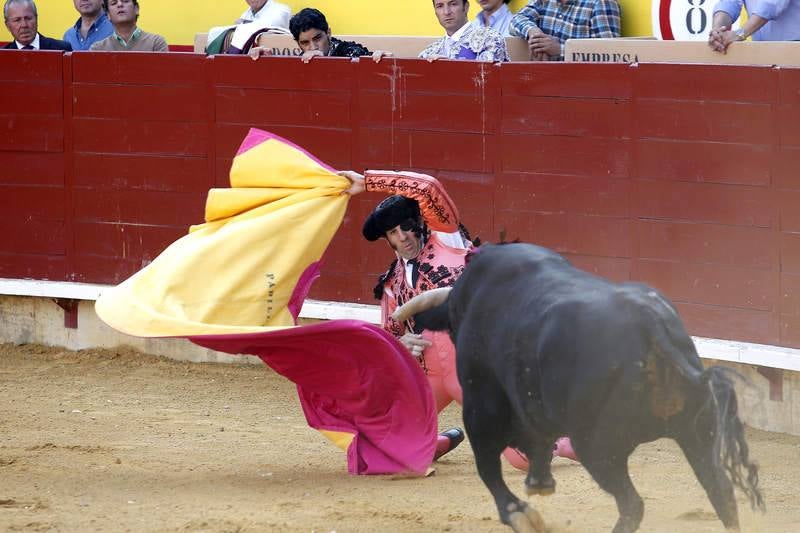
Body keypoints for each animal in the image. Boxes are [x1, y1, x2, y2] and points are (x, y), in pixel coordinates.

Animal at [396, 243, 764, 528]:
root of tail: (651, 323)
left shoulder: (481, 403)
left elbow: (489, 463)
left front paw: (520, 512)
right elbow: (536, 440)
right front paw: (539, 483)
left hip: (596, 445)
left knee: (632, 504)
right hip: (696, 433)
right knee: (721, 493)